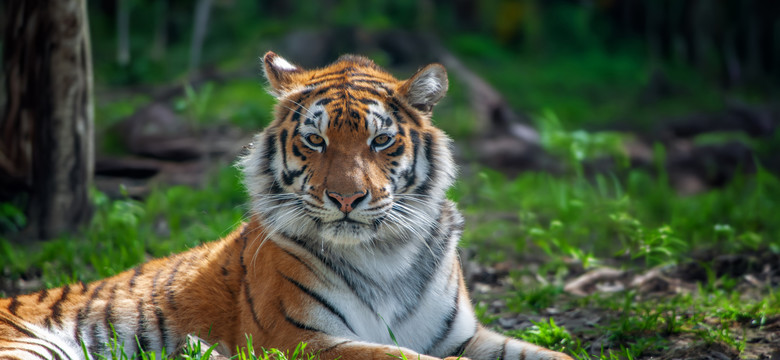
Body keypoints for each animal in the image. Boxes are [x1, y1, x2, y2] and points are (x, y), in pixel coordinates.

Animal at [0, 51, 572, 360]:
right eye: (316, 141)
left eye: (381, 141)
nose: (347, 198)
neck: (384, 255)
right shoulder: (301, 338)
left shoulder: (461, 337)